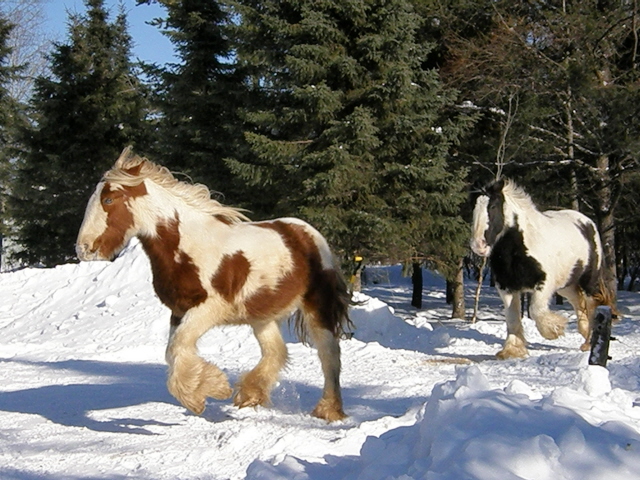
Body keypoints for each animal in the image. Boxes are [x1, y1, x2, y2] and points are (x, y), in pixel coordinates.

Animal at [78, 146, 356, 420]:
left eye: (108, 200)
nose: (83, 249)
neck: (189, 245)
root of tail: (307, 232)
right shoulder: (179, 311)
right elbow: (173, 351)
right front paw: (206, 390)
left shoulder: (209, 309)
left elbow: (177, 347)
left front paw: (209, 391)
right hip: (262, 316)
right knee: (276, 351)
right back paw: (249, 394)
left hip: (317, 306)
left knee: (329, 355)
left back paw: (328, 411)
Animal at [470, 178, 616, 358]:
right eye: (473, 206)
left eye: (493, 206)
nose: (478, 246)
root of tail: (588, 223)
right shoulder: (506, 288)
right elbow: (512, 318)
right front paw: (512, 350)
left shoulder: (544, 285)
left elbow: (535, 310)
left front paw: (554, 330)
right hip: (566, 286)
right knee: (578, 302)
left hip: (589, 281)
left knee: (591, 306)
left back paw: (588, 344)